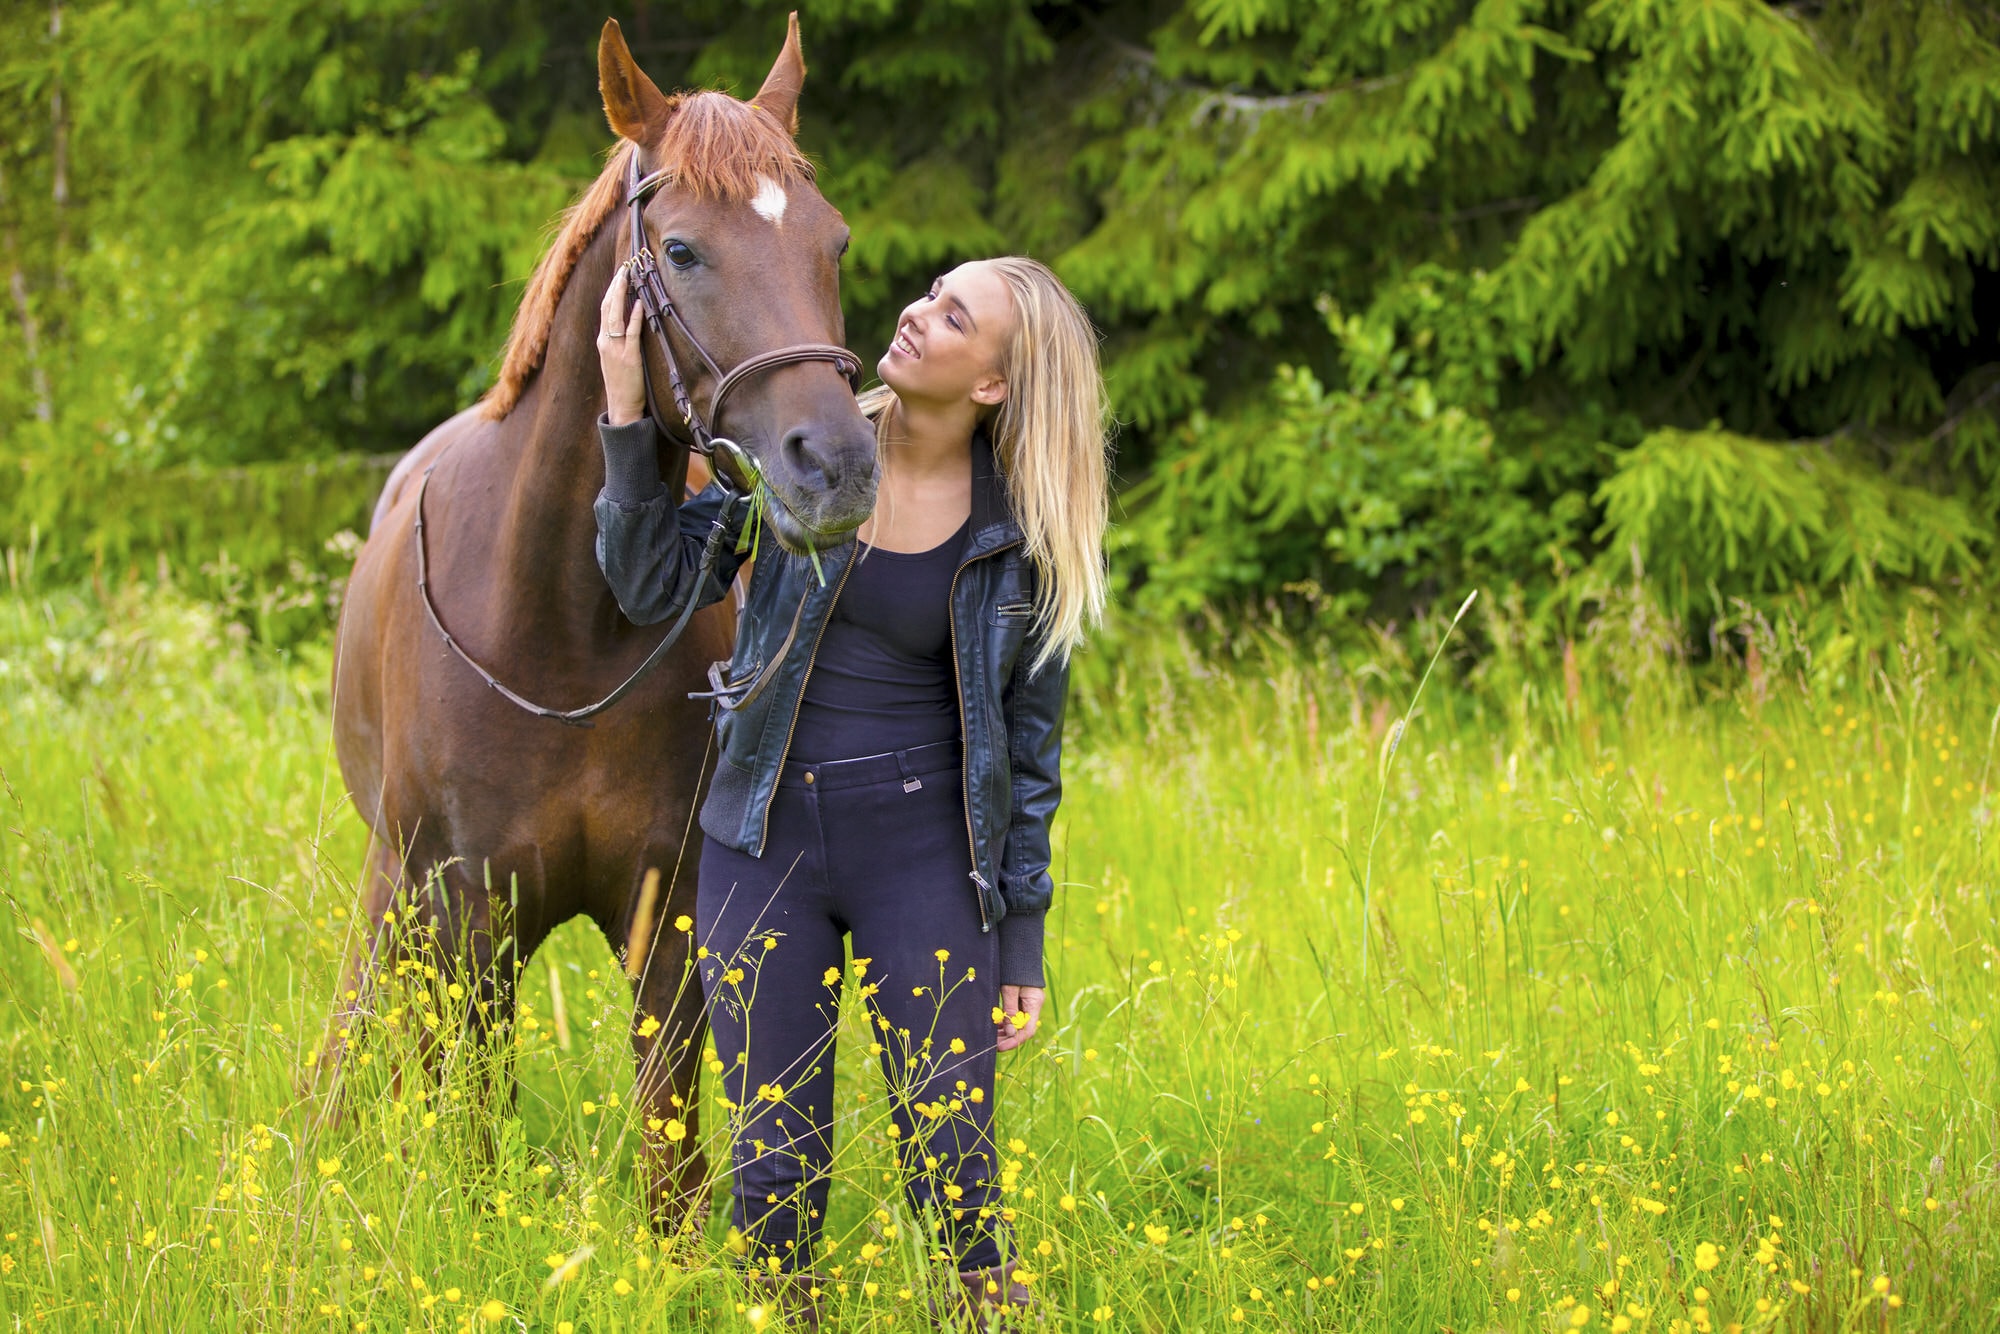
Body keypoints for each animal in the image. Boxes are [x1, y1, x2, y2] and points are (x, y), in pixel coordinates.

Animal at [322, 18, 876, 1232]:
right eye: (681, 250)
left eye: (835, 242)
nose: (838, 464)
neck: (560, 631)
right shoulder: (473, 918)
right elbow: (472, 1126)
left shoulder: (667, 924)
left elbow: (671, 1159)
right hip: (399, 891)